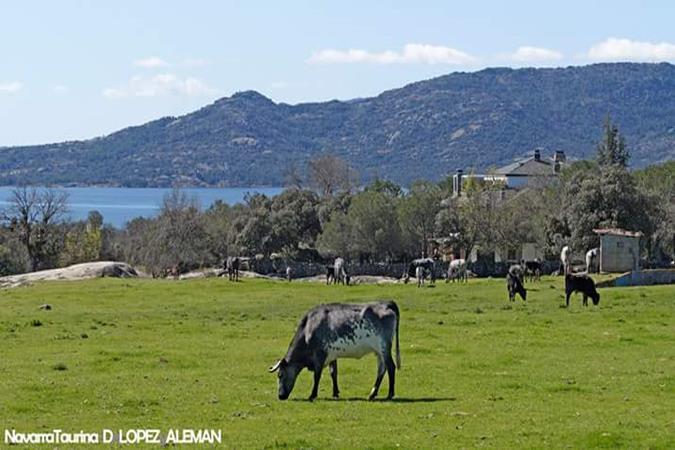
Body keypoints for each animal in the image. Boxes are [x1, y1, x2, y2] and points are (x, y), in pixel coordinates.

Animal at [270, 302, 402, 400]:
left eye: (280, 375)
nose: (280, 396)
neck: (308, 329)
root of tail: (385, 304)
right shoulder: (331, 355)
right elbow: (333, 373)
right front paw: (335, 393)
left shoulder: (320, 355)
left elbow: (317, 376)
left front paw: (312, 395)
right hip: (379, 352)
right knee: (381, 370)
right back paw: (372, 394)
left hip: (384, 347)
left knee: (391, 367)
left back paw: (390, 394)